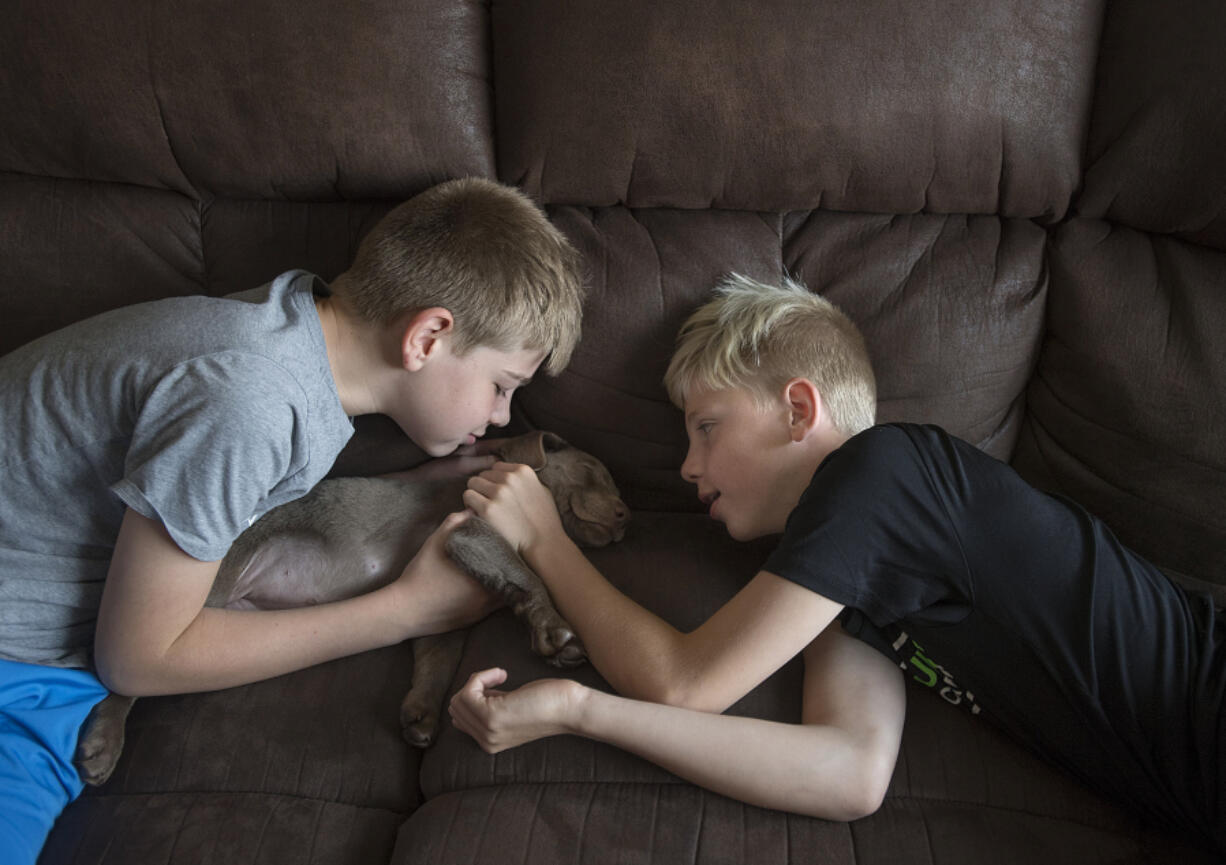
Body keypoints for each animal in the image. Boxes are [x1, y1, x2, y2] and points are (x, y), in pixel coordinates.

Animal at [74, 428, 632, 784]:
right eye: (592, 471)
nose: (628, 517)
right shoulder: (472, 532)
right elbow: (528, 573)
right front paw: (555, 631)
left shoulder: (442, 617)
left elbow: (436, 662)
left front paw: (421, 713)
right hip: (209, 585)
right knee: (125, 676)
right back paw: (104, 739)